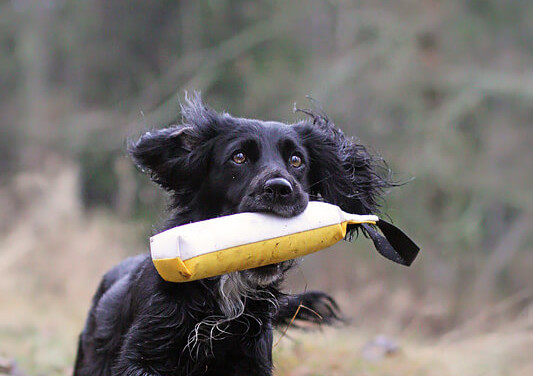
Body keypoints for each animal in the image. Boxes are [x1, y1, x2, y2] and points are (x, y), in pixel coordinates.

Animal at [75, 96, 416, 376]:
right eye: (238, 157)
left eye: (296, 160)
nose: (280, 189)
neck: (227, 293)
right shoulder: (145, 355)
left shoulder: (250, 361)